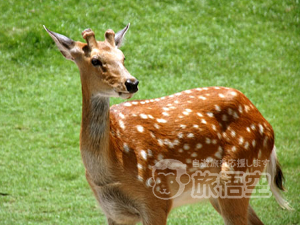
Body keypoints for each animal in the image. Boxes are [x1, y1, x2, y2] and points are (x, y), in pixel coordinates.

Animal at [44, 23, 290, 224]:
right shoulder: (114, 212)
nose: (131, 83)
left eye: (123, 57)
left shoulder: (157, 200)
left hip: (237, 175)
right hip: (218, 191)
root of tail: (265, 123)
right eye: (95, 60)